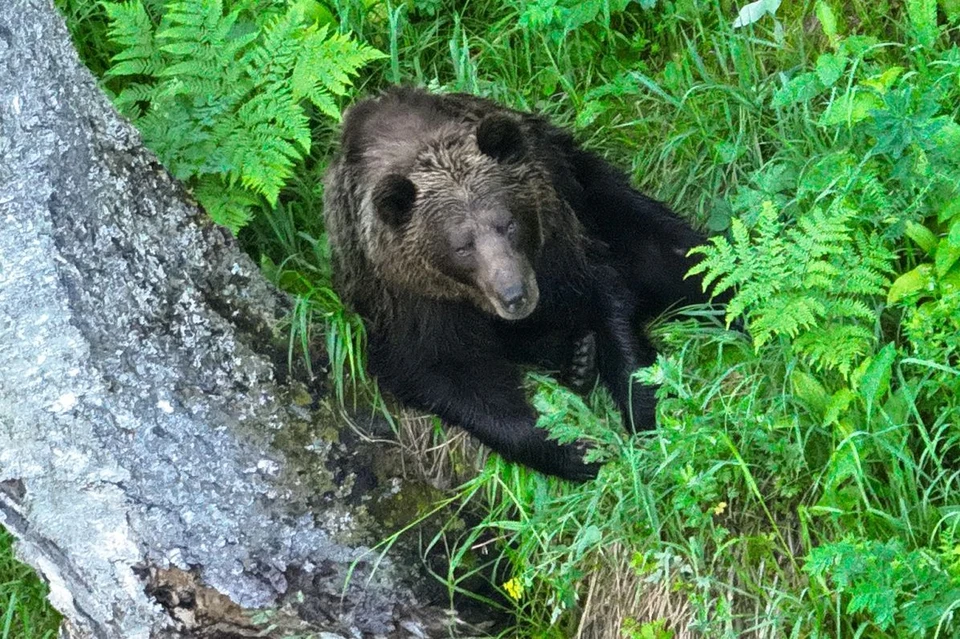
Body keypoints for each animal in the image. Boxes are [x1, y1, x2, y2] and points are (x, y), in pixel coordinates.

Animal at [322, 87, 712, 482]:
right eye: (462, 246)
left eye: (508, 223)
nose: (515, 296)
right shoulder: (414, 300)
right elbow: (449, 374)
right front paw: (576, 450)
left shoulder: (555, 241)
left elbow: (605, 298)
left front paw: (644, 409)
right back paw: (575, 359)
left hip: (586, 184)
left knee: (668, 250)